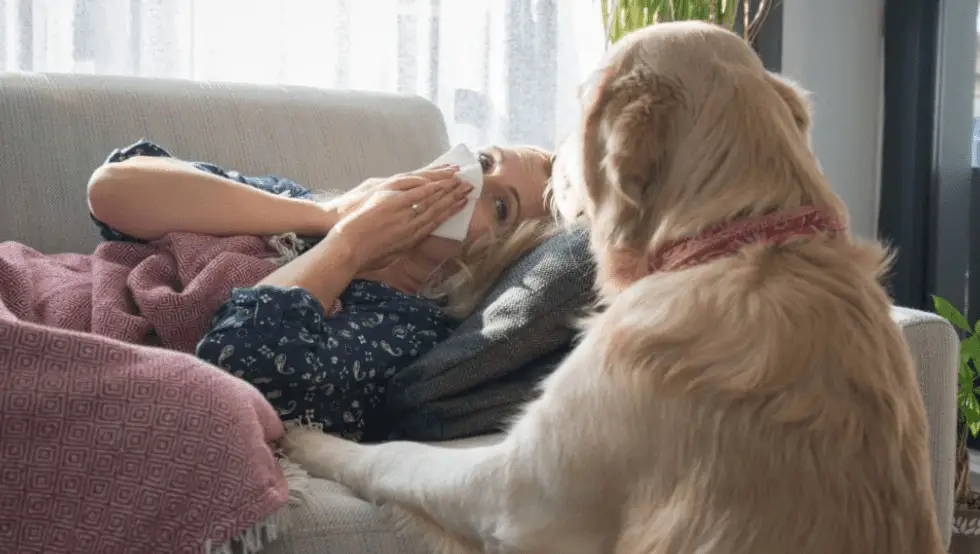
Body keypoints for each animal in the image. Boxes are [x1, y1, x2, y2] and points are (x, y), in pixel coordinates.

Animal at [284, 21, 948, 552]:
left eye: (581, 103)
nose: (549, 164)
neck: (732, 242)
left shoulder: (512, 490)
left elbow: (392, 456)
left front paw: (307, 441)